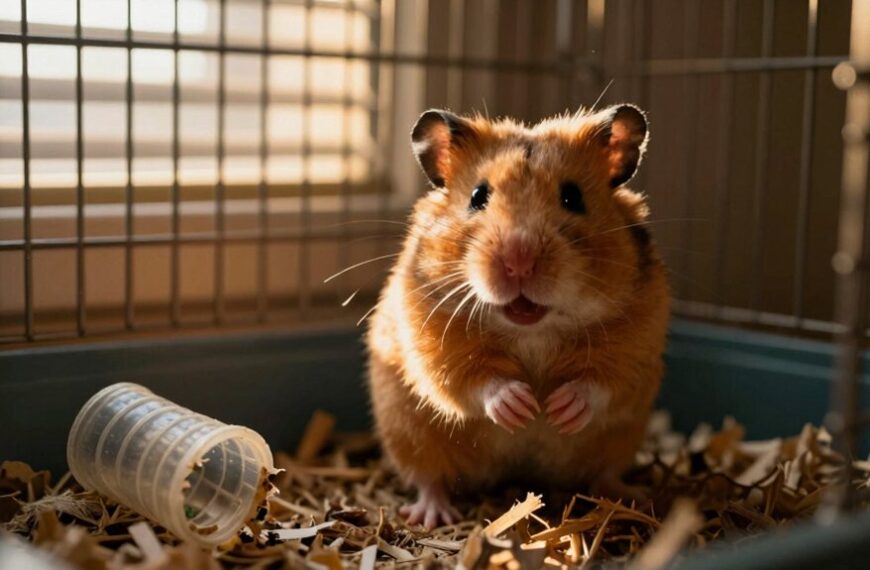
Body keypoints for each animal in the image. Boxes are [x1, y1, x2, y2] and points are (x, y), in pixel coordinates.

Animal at [366, 104, 670, 529]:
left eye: (572, 196)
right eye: (478, 196)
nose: (519, 259)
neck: (533, 331)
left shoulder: (637, 343)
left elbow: (601, 382)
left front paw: (558, 410)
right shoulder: (434, 340)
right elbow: (473, 380)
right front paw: (522, 408)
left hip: (621, 440)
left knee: (604, 474)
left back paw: (632, 498)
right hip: (409, 433)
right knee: (429, 477)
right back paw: (432, 514)